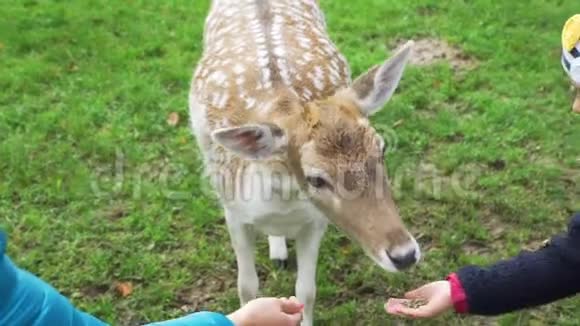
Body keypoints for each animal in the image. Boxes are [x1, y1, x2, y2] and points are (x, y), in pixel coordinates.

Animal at [190, 1, 422, 324]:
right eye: (316, 178)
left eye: (382, 148)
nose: (405, 255)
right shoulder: (233, 212)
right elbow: (247, 288)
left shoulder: (315, 221)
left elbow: (306, 291)